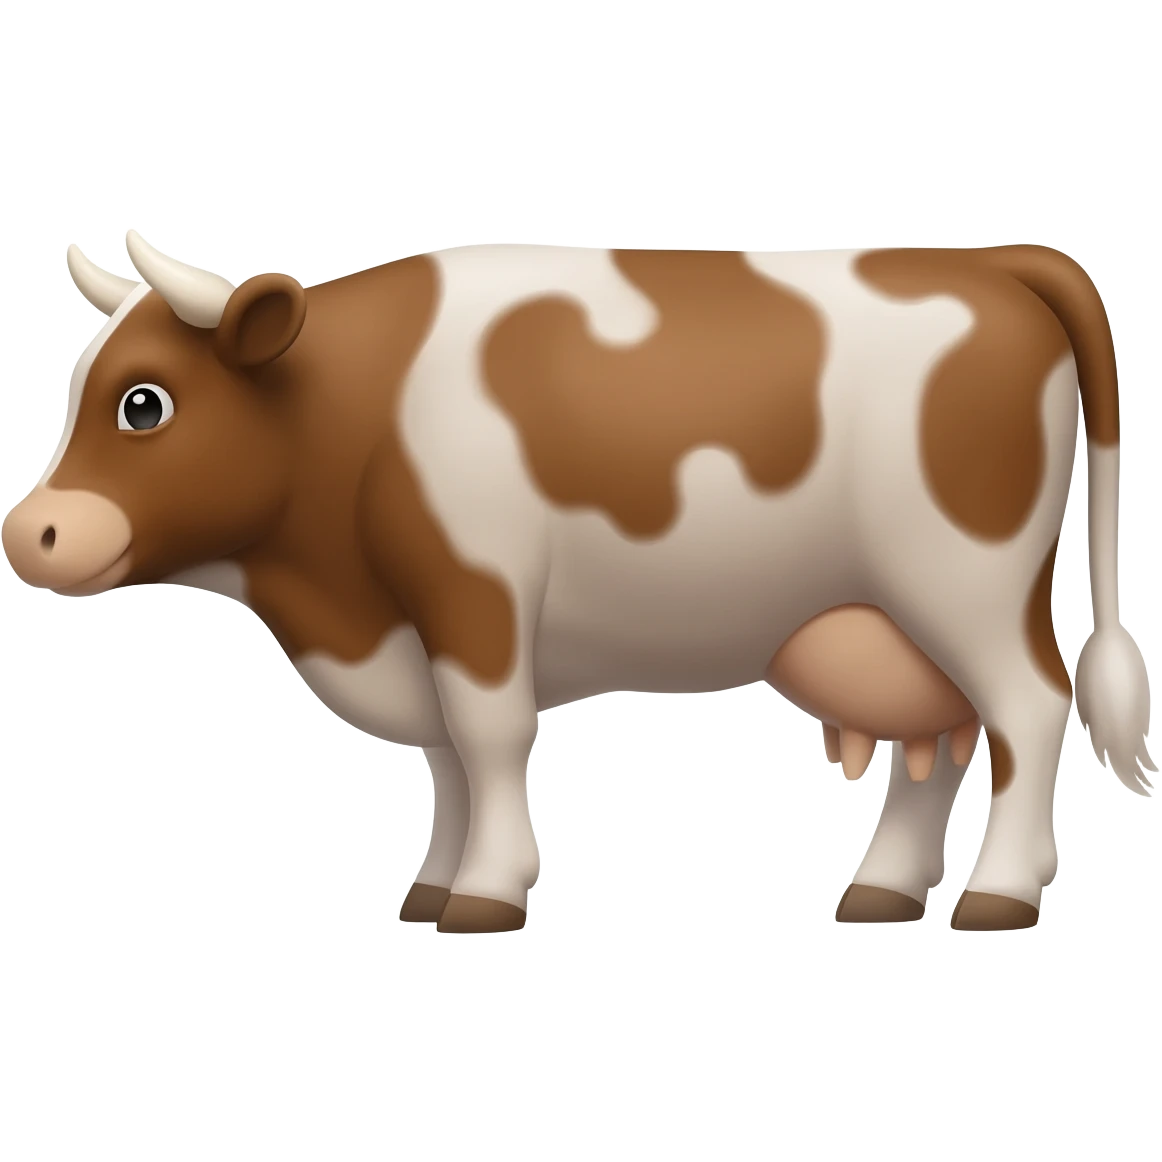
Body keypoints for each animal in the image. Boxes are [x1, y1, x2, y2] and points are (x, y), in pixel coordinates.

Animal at [3, 236, 1156, 934]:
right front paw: (432, 885)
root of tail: (985, 261)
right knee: (945, 737)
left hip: (965, 578)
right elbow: (448, 760)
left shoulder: (474, 592)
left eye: (145, 403)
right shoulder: (419, 621)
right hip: (899, 608)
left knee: (1026, 709)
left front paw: (487, 892)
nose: (31, 532)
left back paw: (997, 893)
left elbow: (485, 738)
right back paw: (881, 888)